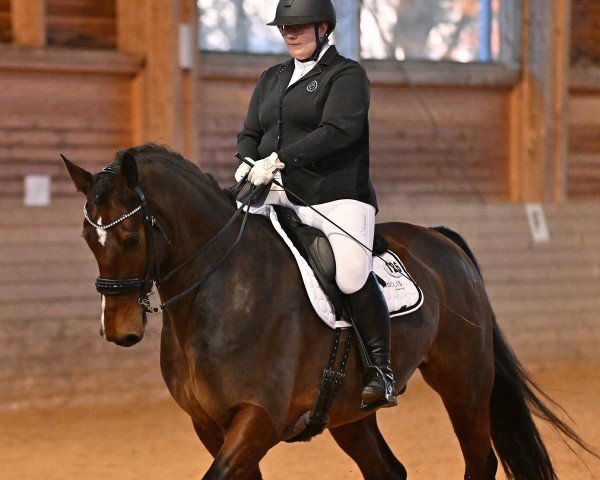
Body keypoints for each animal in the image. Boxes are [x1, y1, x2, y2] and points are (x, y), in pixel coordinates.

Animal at [62, 143, 592, 480]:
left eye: (131, 238)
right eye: (88, 238)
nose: (118, 330)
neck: (219, 289)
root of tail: (442, 242)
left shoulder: (258, 420)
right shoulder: (209, 425)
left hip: (465, 385)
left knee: (479, 462)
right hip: (350, 412)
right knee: (388, 471)